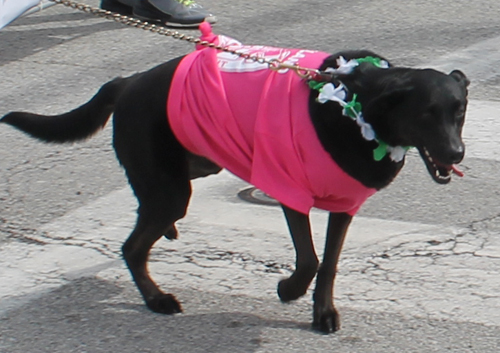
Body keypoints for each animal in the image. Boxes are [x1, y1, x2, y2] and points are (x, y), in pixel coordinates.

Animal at [0, 43, 468, 330]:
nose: (458, 152)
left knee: (145, 221)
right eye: (426, 114)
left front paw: (323, 313)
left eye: (459, 111)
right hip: (170, 190)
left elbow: (329, 264)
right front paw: (288, 290)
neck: (355, 103)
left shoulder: (344, 204)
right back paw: (156, 299)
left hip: (190, 170)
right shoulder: (289, 190)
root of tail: (129, 81)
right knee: (132, 247)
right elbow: (309, 260)